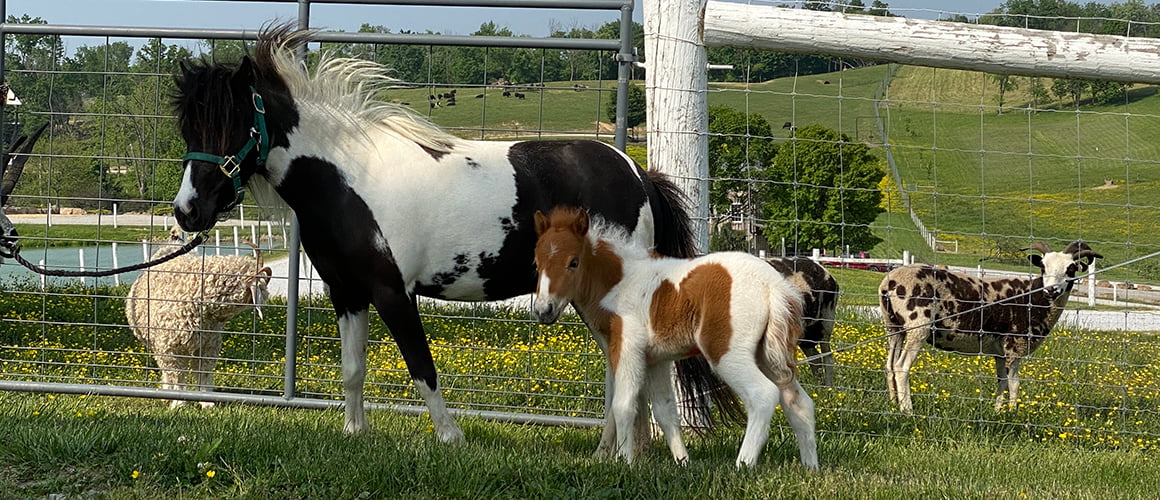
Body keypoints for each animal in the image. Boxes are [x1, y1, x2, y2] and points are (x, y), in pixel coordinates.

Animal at [169, 23, 703, 448]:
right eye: (189, 130)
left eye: (232, 124)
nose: (187, 212)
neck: (351, 179)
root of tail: (638, 174)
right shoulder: (346, 292)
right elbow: (352, 370)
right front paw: (355, 433)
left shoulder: (393, 293)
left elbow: (421, 367)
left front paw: (451, 437)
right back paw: (608, 451)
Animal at [531, 207, 818, 468]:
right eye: (536, 263)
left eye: (574, 262)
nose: (544, 310)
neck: (619, 282)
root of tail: (774, 285)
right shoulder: (656, 359)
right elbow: (665, 409)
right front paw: (682, 462)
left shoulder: (627, 348)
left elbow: (623, 405)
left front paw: (625, 461)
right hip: (768, 354)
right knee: (799, 402)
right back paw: (810, 467)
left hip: (727, 354)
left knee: (763, 395)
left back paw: (743, 465)